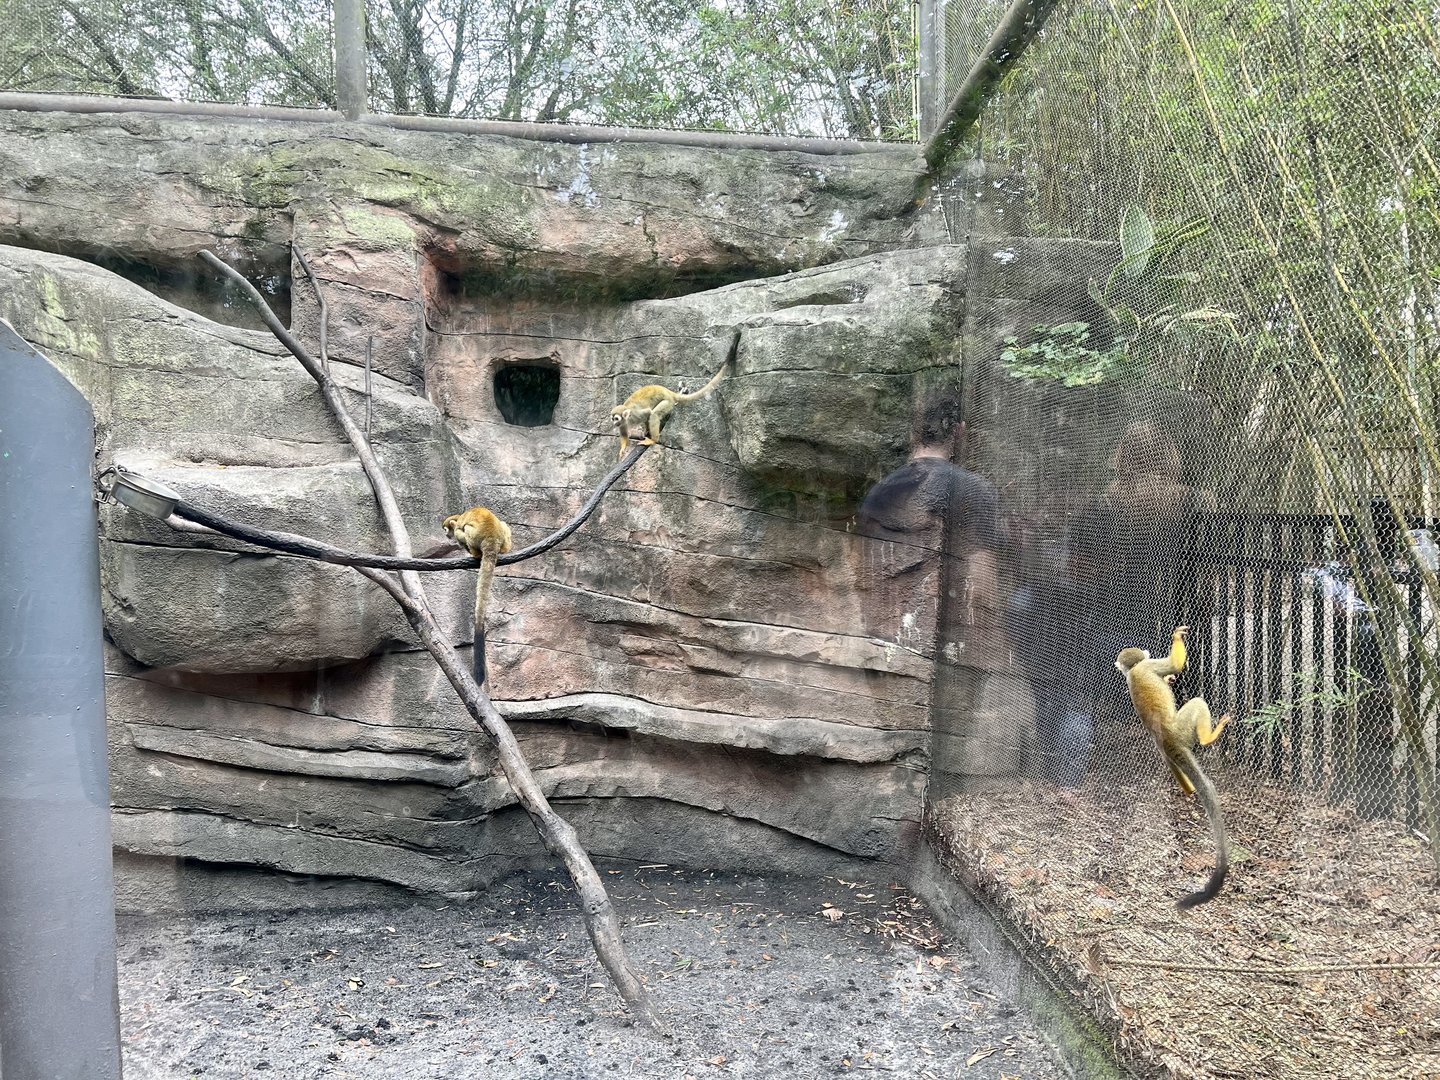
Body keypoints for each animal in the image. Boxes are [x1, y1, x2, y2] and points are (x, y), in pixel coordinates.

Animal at [441, 506, 513, 686]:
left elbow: (459, 531)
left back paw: (475, 554)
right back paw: (505, 549)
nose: (446, 535)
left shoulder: (457, 527)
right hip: (502, 534)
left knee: (465, 531)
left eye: (446, 529)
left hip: (475, 535)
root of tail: (492, 538)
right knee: (504, 525)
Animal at [609, 333, 739, 457]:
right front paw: (623, 448)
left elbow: (649, 413)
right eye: (613, 418)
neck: (628, 419)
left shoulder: (636, 414)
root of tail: (668, 391)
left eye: (616, 418)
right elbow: (625, 434)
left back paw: (654, 440)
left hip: (667, 402)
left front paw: (649, 434)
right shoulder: (623, 424)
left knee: (655, 413)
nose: (614, 423)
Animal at [1115, 625, 1232, 909]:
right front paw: (1177, 638)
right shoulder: (1147, 665)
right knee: (1197, 704)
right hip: (1181, 728)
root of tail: (1167, 739)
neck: (1133, 671)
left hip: (1165, 750)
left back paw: (1189, 789)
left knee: (1171, 763)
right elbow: (1174, 665)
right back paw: (1208, 738)